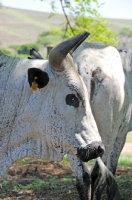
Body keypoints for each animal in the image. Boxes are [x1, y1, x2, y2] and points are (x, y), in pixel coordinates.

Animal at [28, 39, 131, 199]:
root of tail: (86, 65)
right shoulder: (121, 135)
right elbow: (111, 170)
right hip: (107, 134)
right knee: (97, 174)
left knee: (83, 177)